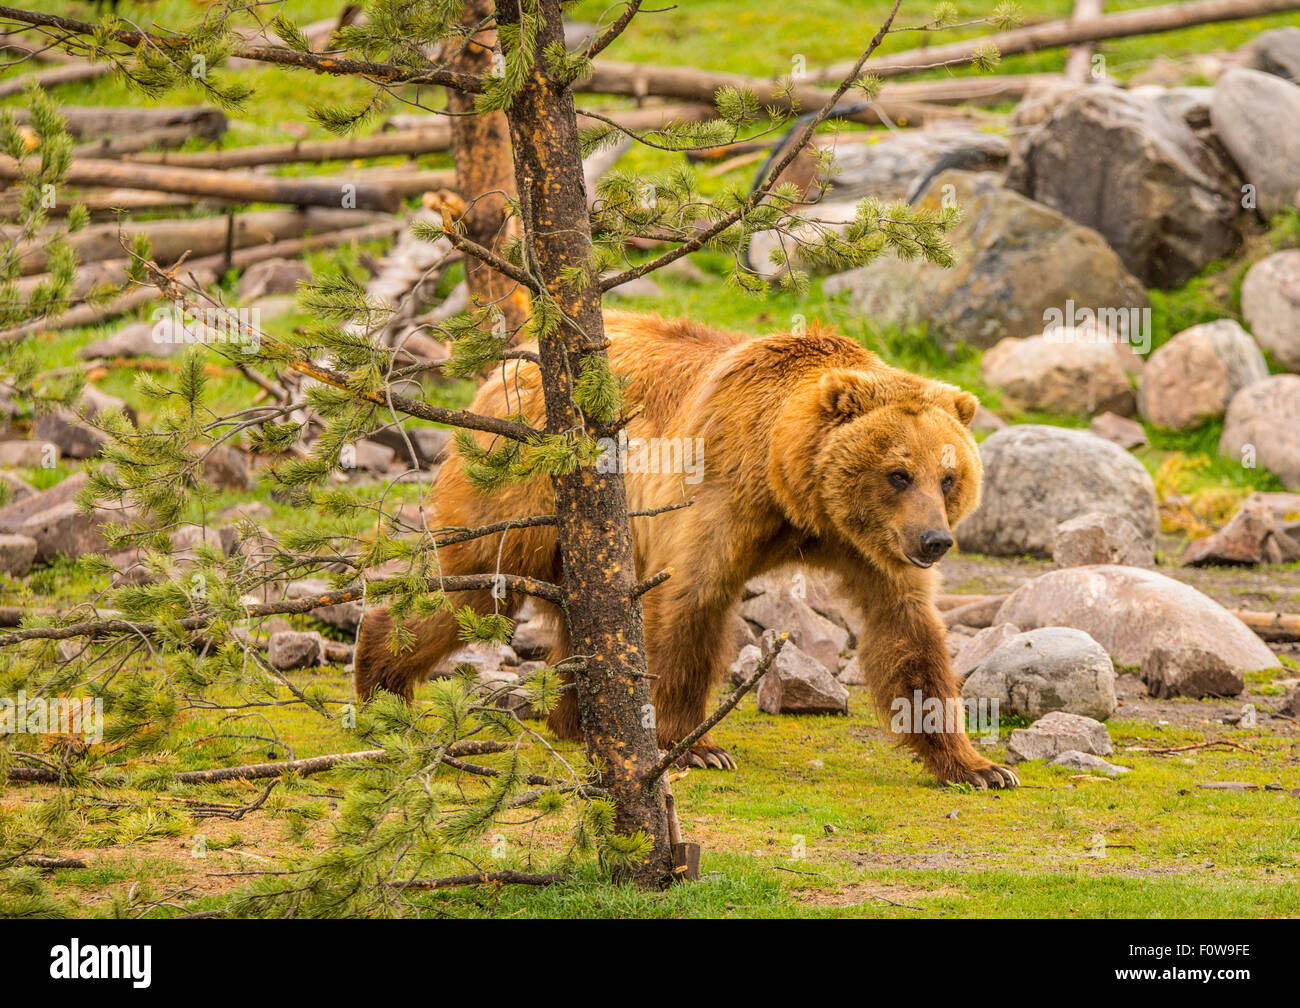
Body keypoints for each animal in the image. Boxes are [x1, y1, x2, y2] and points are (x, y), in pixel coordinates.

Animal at [353, 310, 1013, 790]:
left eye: (948, 476)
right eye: (898, 473)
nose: (935, 540)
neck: (795, 492)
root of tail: (507, 368)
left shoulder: (871, 547)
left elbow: (907, 629)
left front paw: (978, 765)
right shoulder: (719, 494)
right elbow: (691, 603)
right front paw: (692, 746)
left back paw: (576, 722)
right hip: (524, 488)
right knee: (478, 581)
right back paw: (381, 677)